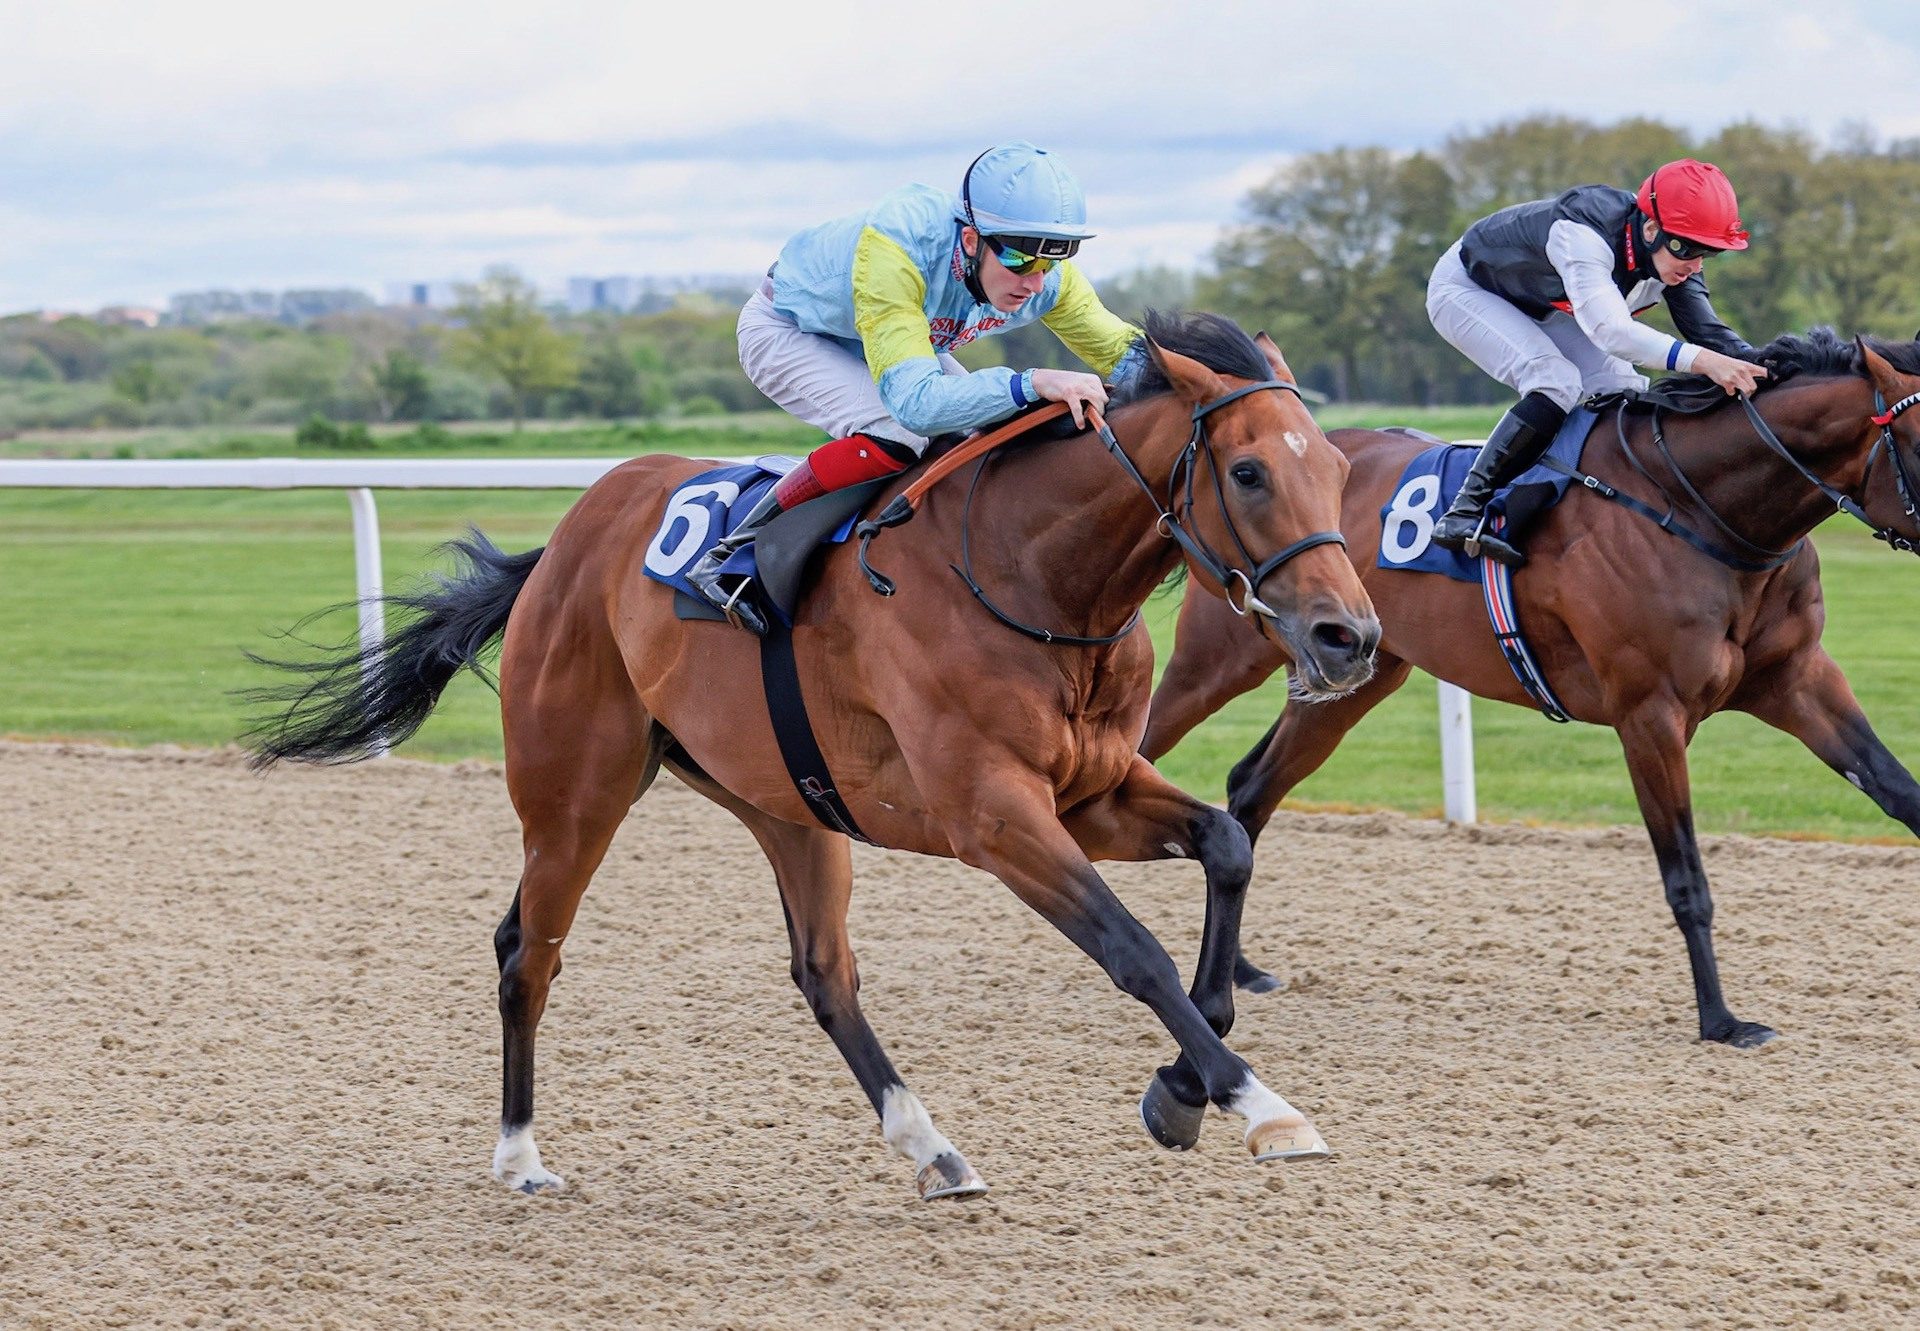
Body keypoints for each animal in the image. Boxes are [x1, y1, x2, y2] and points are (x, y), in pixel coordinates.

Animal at [247, 314, 1382, 1206]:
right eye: (1248, 472)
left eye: (1335, 471)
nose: (1350, 637)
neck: (1032, 572)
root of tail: (568, 540)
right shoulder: (995, 814)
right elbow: (1131, 948)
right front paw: (1258, 1103)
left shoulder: (1090, 792)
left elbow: (1228, 843)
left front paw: (1182, 1086)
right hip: (575, 789)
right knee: (530, 947)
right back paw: (521, 1156)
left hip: (786, 801)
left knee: (823, 971)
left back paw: (932, 1148)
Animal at [1136, 330, 1920, 1052]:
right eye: (1917, 439)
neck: (1704, 513)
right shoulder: (1650, 714)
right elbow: (1686, 878)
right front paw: (1722, 1020)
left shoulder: (1798, 680)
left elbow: (1898, 791)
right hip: (1218, 662)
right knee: (1139, 746)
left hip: (1354, 676)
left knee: (1251, 787)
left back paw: (1241, 968)